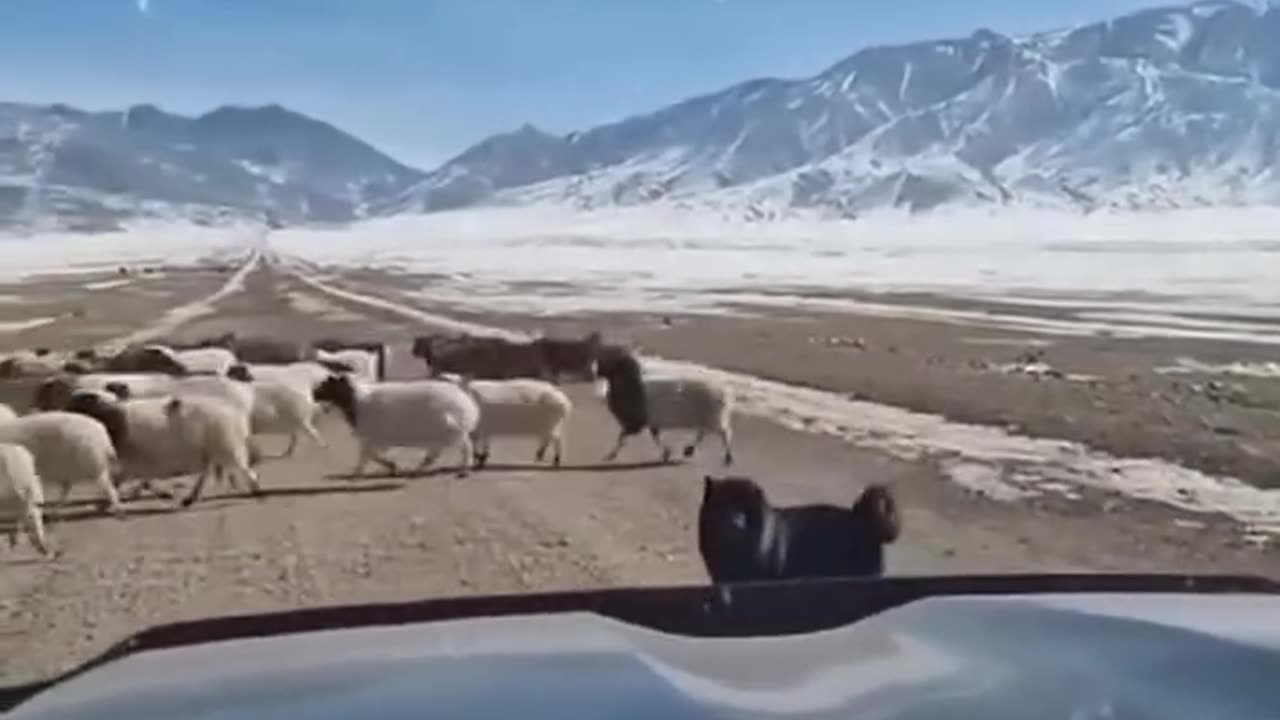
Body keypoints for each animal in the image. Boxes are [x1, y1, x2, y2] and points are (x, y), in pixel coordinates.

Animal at [314, 368, 481, 476]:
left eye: (329, 384)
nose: (314, 394)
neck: (357, 401)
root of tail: (467, 403)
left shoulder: (373, 437)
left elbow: (368, 455)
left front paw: (364, 470)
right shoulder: (373, 439)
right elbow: (369, 455)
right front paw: (391, 467)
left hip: (450, 430)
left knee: (464, 448)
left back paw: (463, 469)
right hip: (446, 432)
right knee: (439, 451)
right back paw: (420, 468)